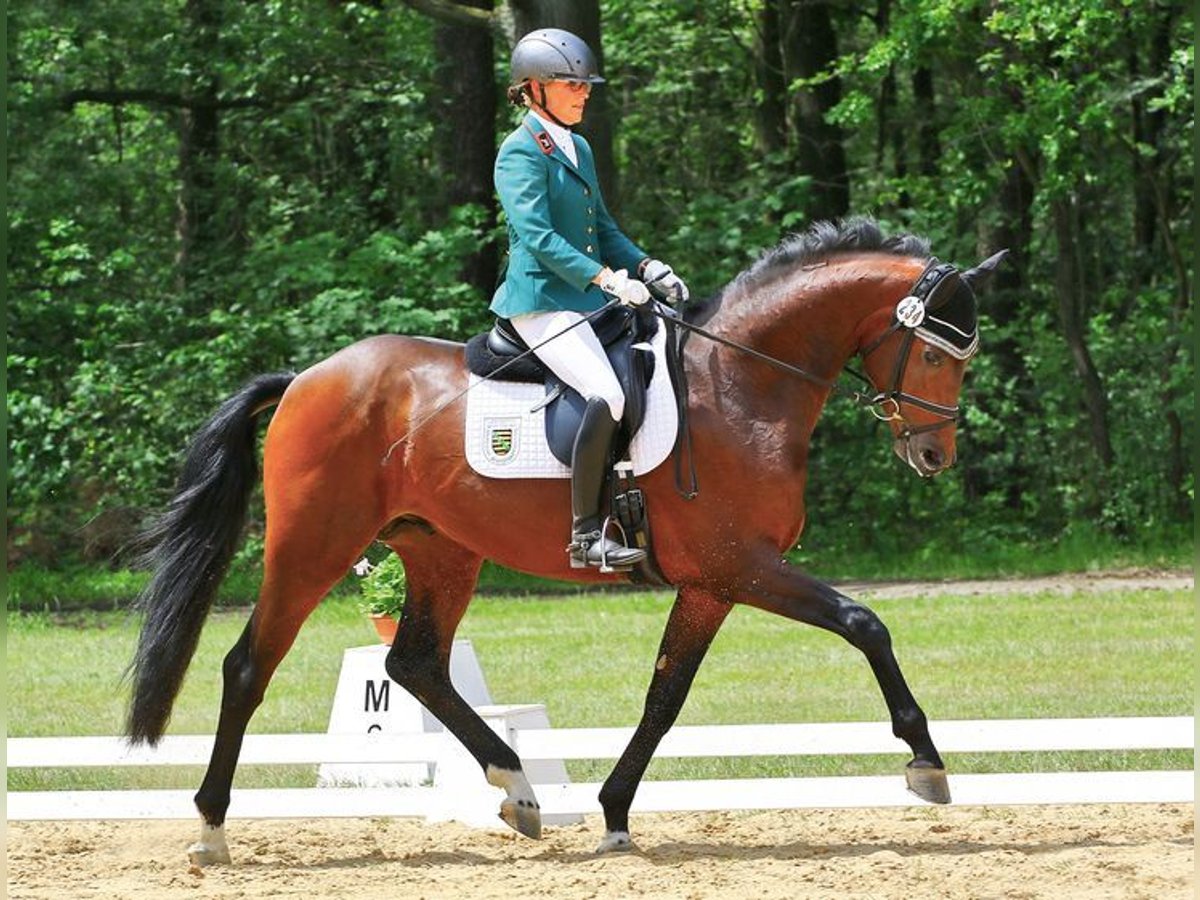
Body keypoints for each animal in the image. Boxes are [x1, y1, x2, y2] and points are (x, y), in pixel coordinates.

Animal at [124, 217, 1003, 868]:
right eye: (933, 352)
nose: (934, 455)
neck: (738, 385)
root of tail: (307, 377)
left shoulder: (711, 582)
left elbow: (664, 697)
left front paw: (614, 814)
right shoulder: (744, 566)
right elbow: (865, 623)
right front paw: (926, 764)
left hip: (441, 550)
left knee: (414, 662)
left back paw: (518, 791)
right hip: (315, 545)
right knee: (249, 666)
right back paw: (211, 831)